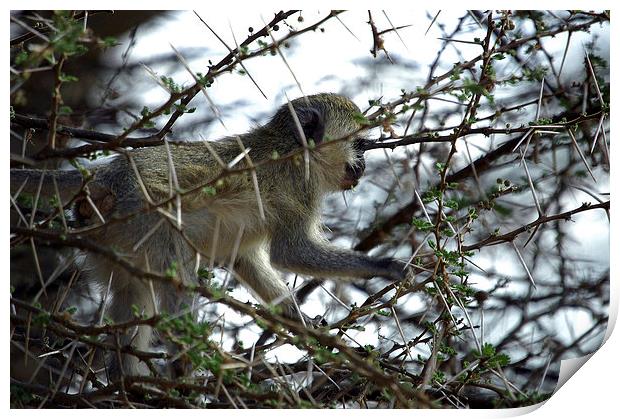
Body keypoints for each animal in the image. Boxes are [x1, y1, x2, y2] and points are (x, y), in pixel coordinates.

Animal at [10, 94, 406, 378]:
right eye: (360, 144)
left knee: (133, 292)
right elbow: (290, 253)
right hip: (143, 215)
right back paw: (183, 364)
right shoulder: (300, 190)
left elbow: (245, 259)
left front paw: (297, 318)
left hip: (109, 239)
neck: (294, 148)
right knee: (176, 278)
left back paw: (130, 383)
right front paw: (385, 265)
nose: (363, 167)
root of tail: (106, 177)